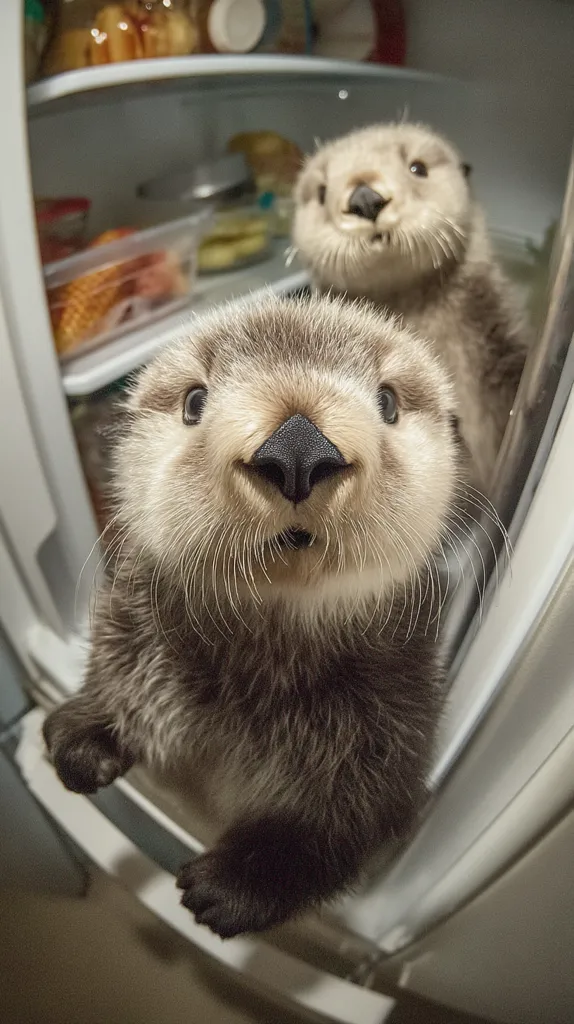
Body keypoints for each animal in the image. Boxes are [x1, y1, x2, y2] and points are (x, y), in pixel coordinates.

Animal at [44, 294, 462, 939]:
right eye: (195, 401)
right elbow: (117, 674)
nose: (297, 447)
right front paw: (86, 736)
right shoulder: (138, 627)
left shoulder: (397, 703)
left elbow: (352, 814)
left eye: (388, 401)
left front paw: (235, 883)